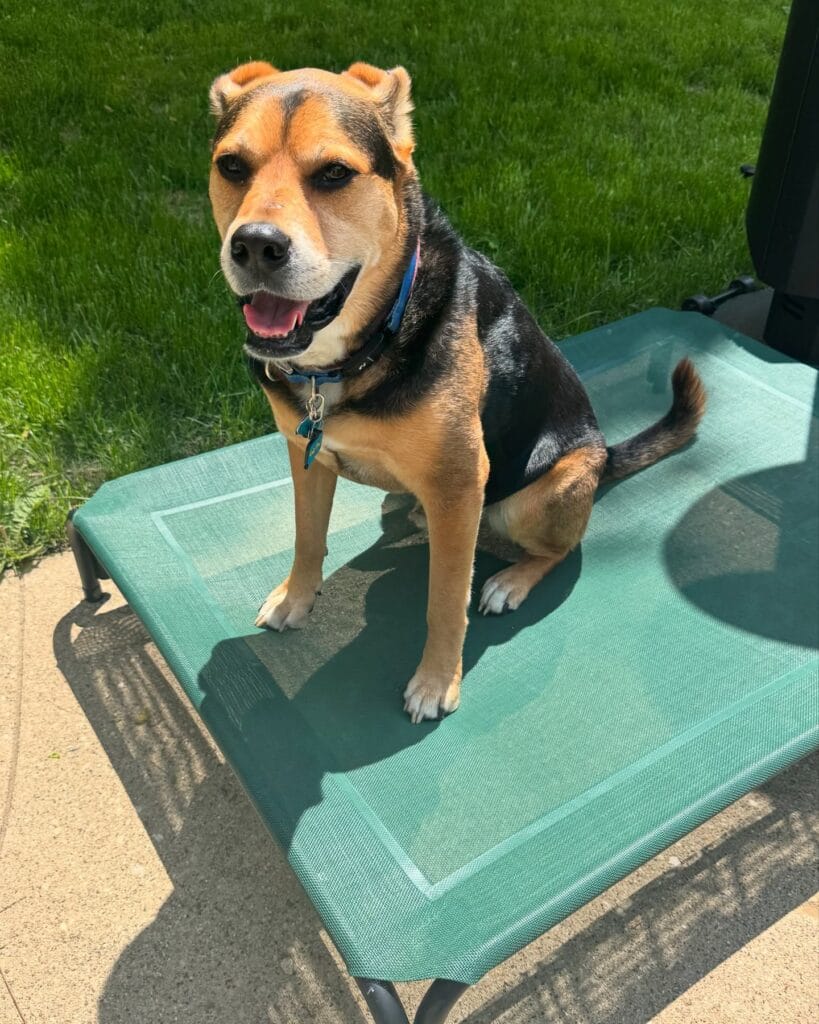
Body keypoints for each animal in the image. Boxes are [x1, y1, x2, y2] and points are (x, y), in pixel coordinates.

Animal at [207, 60, 706, 723]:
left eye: (334, 173)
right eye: (232, 166)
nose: (256, 245)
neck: (362, 347)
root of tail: (603, 455)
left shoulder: (459, 482)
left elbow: (445, 600)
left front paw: (436, 681)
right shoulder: (304, 454)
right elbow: (307, 536)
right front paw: (296, 598)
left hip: (538, 494)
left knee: (562, 549)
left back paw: (510, 580)